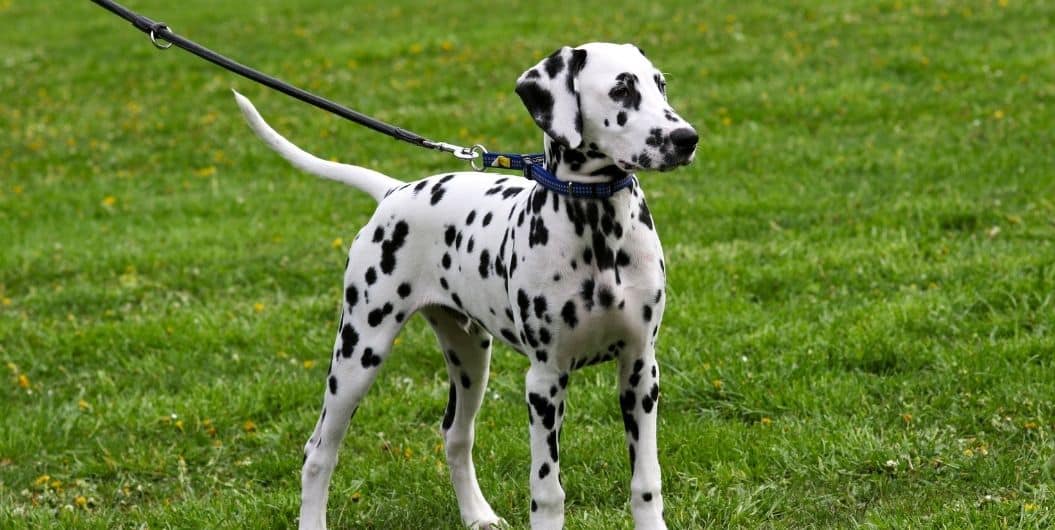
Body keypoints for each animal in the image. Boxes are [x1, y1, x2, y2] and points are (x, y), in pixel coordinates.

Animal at [234, 42, 696, 530]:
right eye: (621, 90)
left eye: (660, 84)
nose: (688, 138)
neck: (599, 233)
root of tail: (395, 190)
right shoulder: (545, 381)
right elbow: (548, 492)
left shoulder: (640, 370)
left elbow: (646, 482)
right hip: (358, 354)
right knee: (319, 451)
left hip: (471, 356)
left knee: (455, 435)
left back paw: (477, 515)